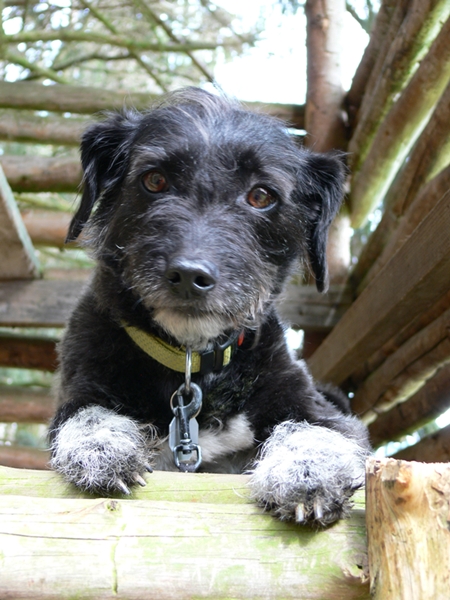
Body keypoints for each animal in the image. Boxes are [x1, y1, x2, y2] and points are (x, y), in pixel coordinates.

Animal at [49, 88, 370, 524]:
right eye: (154, 179)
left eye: (261, 195)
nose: (189, 275)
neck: (191, 365)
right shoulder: (80, 385)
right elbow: (87, 414)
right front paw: (103, 448)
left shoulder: (313, 403)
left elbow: (314, 429)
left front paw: (306, 473)